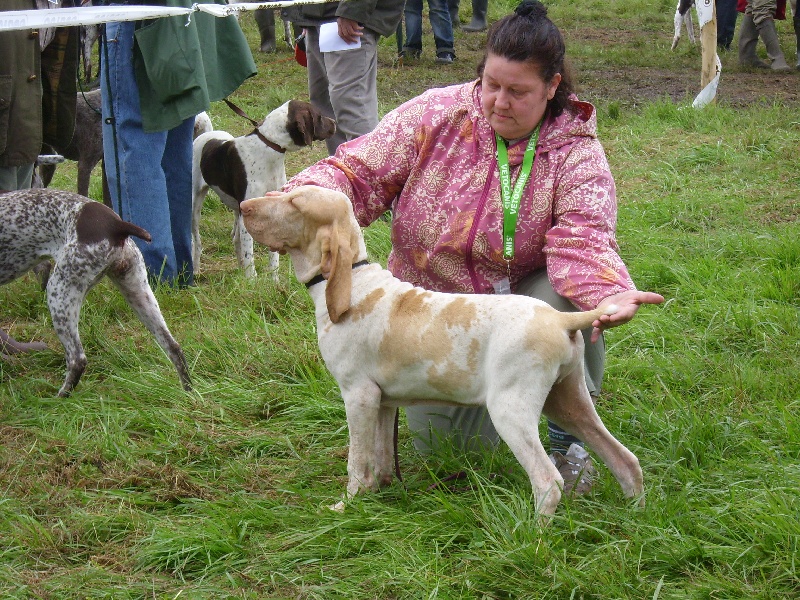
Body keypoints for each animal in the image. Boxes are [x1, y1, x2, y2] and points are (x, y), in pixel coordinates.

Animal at [0, 190, 192, 396]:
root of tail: (116, 225)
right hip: (138, 291)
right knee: (173, 347)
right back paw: (189, 393)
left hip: (60, 291)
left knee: (77, 359)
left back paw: (58, 398)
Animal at [192, 102, 336, 280]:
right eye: (319, 116)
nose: (335, 123)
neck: (268, 146)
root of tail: (208, 136)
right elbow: (249, 254)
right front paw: (252, 280)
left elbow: (272, 257)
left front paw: (274, 280)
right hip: (194, 207)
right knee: (197, 241)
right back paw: (196, 269)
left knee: (236, 240)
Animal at [241, 186, 648, 516]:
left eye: (295, 202)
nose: (243, 205)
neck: (354, 282)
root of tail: (562, 319)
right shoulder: (383, 401)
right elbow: (380, 458)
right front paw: (381, 494)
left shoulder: (358, 395)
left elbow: (357, 462)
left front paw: (347, 506)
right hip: (568, 401)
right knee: (626, 460)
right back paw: (636, 517)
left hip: (511, 408)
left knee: (549, 482)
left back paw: (532, 539)